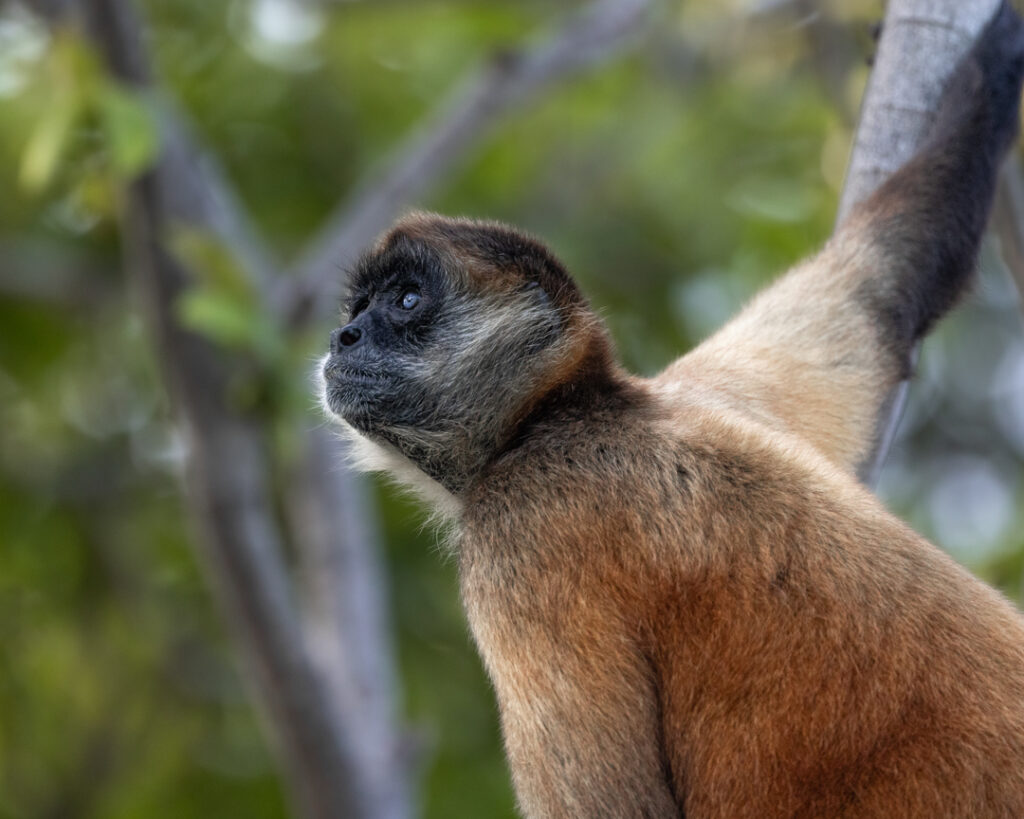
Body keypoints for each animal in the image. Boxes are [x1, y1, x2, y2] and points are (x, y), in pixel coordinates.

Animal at [319, 3, 1024, 817]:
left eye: (406, 301)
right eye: (360, 308)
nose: (343, 336)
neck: (575, 411)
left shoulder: (523, 525)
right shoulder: (703, 391)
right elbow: (889, 275)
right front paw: (1005, 47)